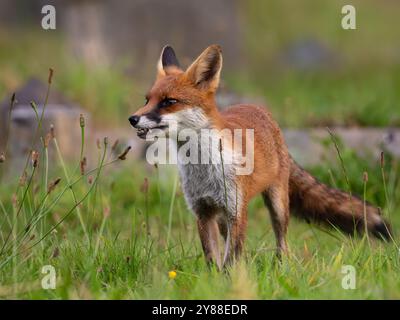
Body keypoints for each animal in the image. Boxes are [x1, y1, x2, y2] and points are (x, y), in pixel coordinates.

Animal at [130, 45, 392, 268]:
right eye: (147, 100)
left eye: (169, 102)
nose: (132, 118)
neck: (203, 167)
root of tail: (259, 109)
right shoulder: (203, 211)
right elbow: (213, 259)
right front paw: (214, 283)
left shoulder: (237, 210)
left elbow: (230, 260)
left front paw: (229, 283)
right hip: (224, 219)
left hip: (277, 205)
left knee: (282, 242)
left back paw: (281, 266)